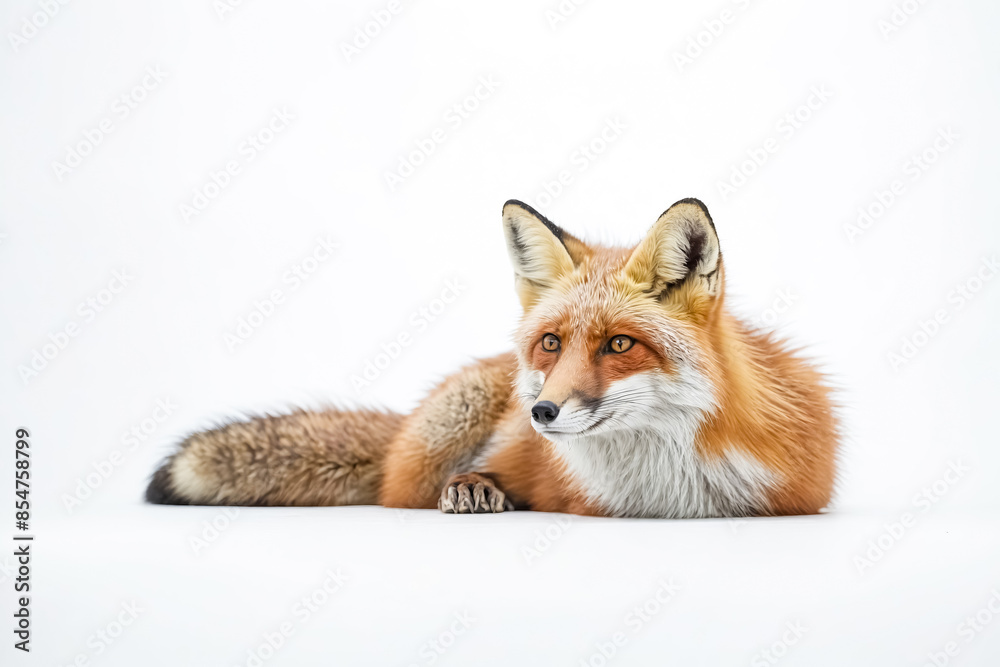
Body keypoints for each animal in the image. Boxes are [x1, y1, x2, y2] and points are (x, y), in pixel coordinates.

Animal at [147, 198, 838, 518]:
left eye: (619, 345)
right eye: (551, 343)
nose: (542, 413)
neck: (666, 490)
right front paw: (482, 486)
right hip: (452, 424)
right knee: (400, 491)